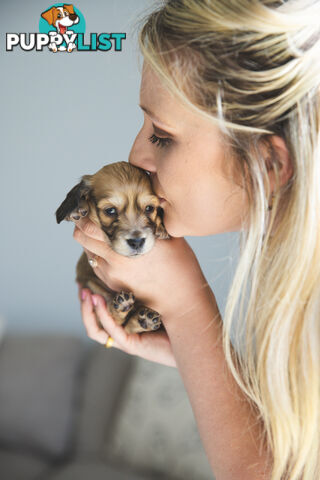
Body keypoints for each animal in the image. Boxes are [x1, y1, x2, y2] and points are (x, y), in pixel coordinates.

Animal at [56, 161, 170, 334]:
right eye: (110, 210)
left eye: (149, 208)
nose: (137, 242)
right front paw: (78, 207)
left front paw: (161, 228)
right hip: (92, 285)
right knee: (114, 315)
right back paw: (127, 308)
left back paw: (143, 320)